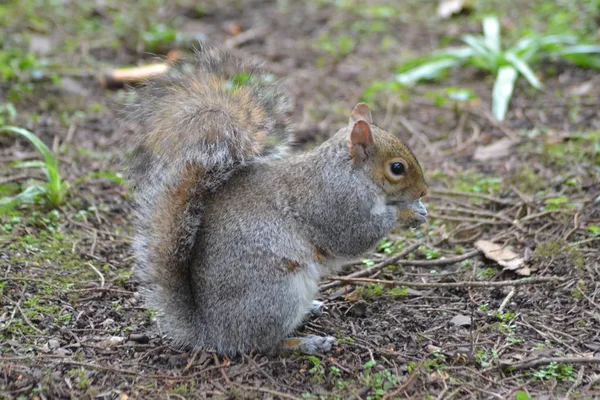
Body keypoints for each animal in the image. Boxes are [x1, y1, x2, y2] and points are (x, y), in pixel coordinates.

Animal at [124, 45, 428, 354]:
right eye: (397, 168)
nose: (423, 192)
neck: (351, 172)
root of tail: (212, 332)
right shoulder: (336, 203)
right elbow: (356, 236)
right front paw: (407, 213)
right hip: (279, 293)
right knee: (263, 343)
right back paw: (306, 342)